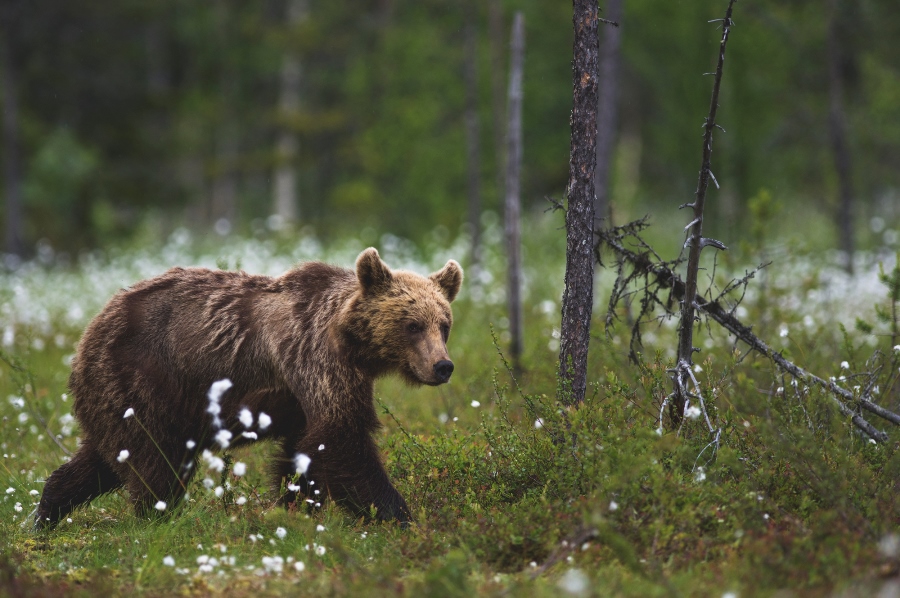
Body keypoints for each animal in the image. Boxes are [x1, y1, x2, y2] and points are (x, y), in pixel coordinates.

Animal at [33, 248, 464, 528]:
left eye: (444, 324)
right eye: (412, 325)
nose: (443, 366)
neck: (351, 344)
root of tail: (89, 330)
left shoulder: (309, 391)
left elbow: (304, 452)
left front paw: (294, 506)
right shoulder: (315, 358)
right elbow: (343, 440)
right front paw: (399, 516)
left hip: (117, 398)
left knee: (101, 460)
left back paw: (46, 513)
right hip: (145, 378)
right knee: (157, 463)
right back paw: (158, 519)